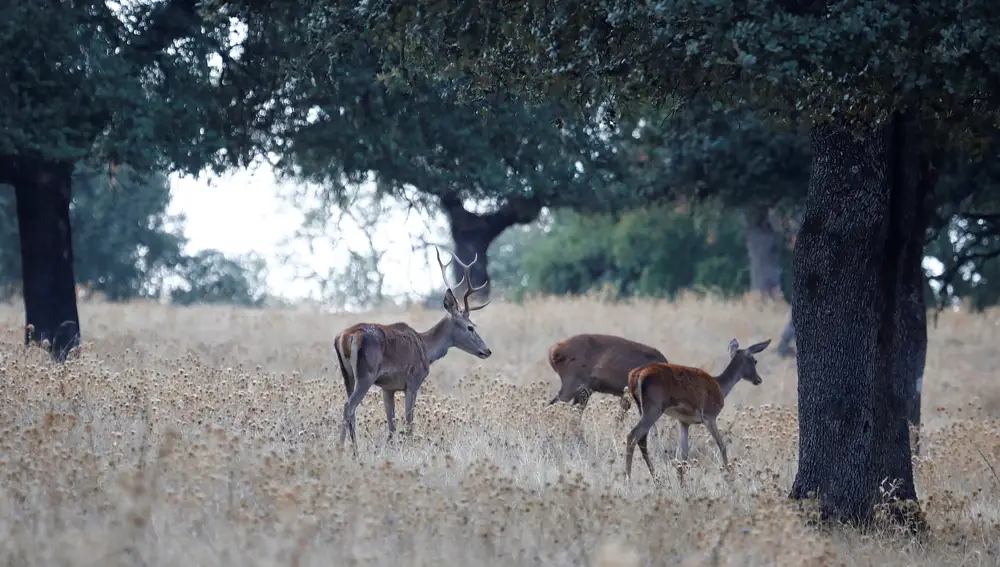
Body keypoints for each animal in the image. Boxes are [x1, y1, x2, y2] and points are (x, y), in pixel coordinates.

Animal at [336, 248, 492, 452]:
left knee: (351, 409)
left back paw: (354, 449)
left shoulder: (388, 387)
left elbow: (392, 424)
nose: (487, 351)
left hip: (348, 375)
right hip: (366, 375)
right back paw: (342, 448)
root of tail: (347, 336)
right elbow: (409, 421)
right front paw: (410, 447)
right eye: (470, 327)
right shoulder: (413, 381)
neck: (426, 348)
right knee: (348, 406)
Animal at [616, 340, 772, 482]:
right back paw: (629, 479)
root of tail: (636, 375)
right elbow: (722, 446)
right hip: (655, 407)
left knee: (642, 439)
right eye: (755, 361)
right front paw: (729, 477)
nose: (758, 379)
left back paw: (654, 478)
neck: (721, 387)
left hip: (642, 406)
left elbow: (684, 454)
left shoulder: (684, 421)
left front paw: (682, 483)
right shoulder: (709, 415)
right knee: (633, 435)